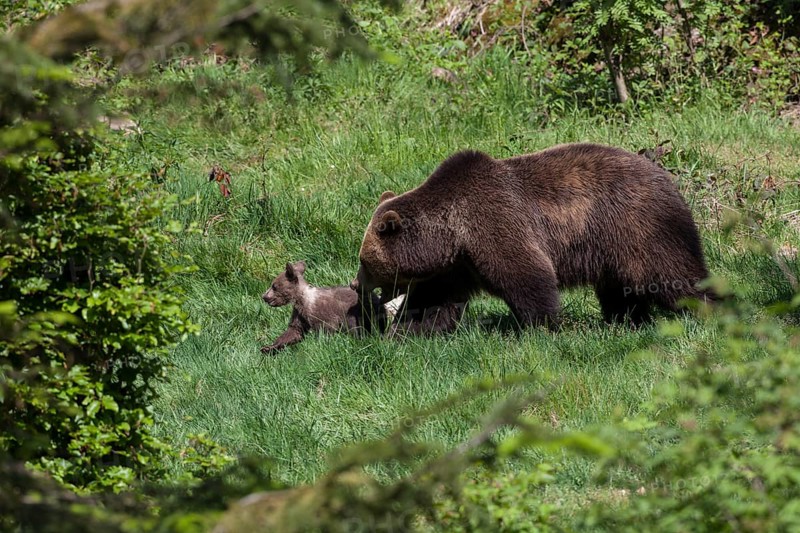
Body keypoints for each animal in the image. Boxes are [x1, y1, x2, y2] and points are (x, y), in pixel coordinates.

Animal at [350, 143, 714, 334]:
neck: (453, 232)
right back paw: (625, 321)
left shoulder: (495, 223)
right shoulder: (457, 265)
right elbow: (432, 300)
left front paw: (542, 327)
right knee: (619, 290)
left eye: (365, 261)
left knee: (672, 276)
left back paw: (709, 310)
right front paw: (407, 332)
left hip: (639, 229)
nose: (355, 284)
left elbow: (527, 276)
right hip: (614, 249)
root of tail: (667, 179)